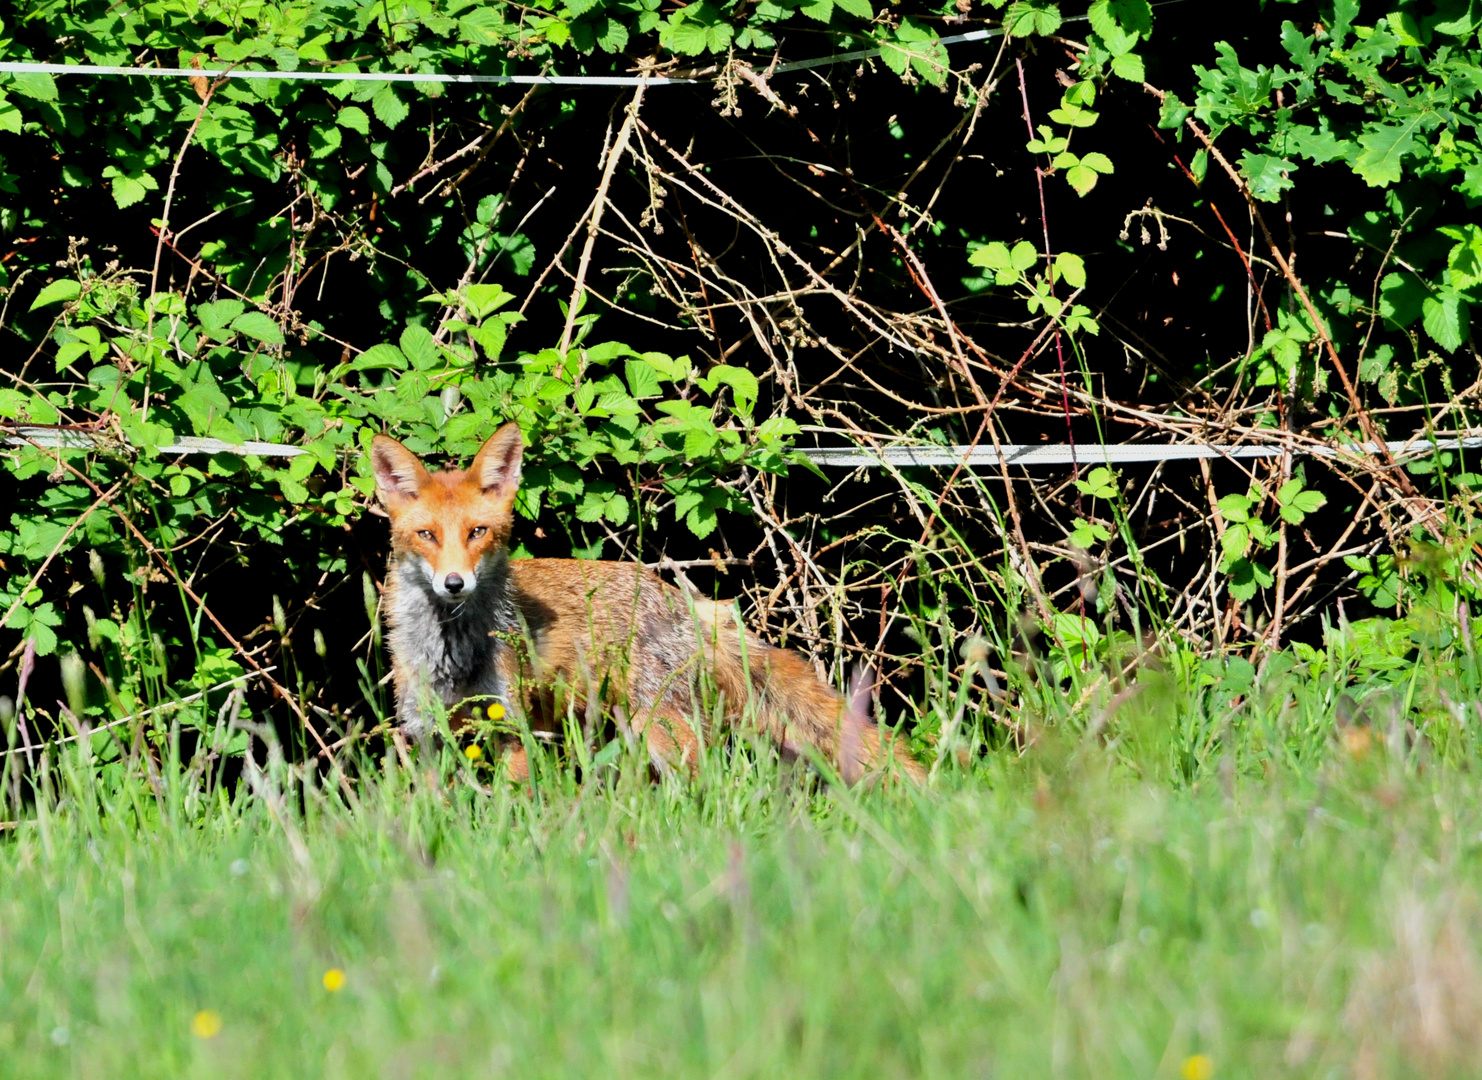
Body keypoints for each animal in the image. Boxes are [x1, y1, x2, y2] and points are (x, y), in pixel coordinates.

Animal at [370, 420, 918, 782]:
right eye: (427, 535)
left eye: (477, 532)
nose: (454, 584)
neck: (453, 654)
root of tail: (690, 605)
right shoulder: (426, 733)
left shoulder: (514, 727)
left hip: (661, 730)